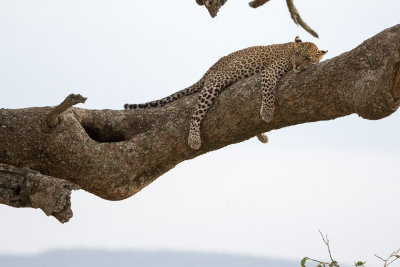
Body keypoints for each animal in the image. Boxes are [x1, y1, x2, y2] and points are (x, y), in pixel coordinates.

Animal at [125, 37, 328, 151]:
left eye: (307, 58)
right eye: (297, 54)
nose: (297, 66)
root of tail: (210, 69)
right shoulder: (269, 72)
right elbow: (269, 92)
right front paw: (268, 112)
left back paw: (261, 135)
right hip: (214, 84)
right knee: (195, 115)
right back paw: (194, 139)